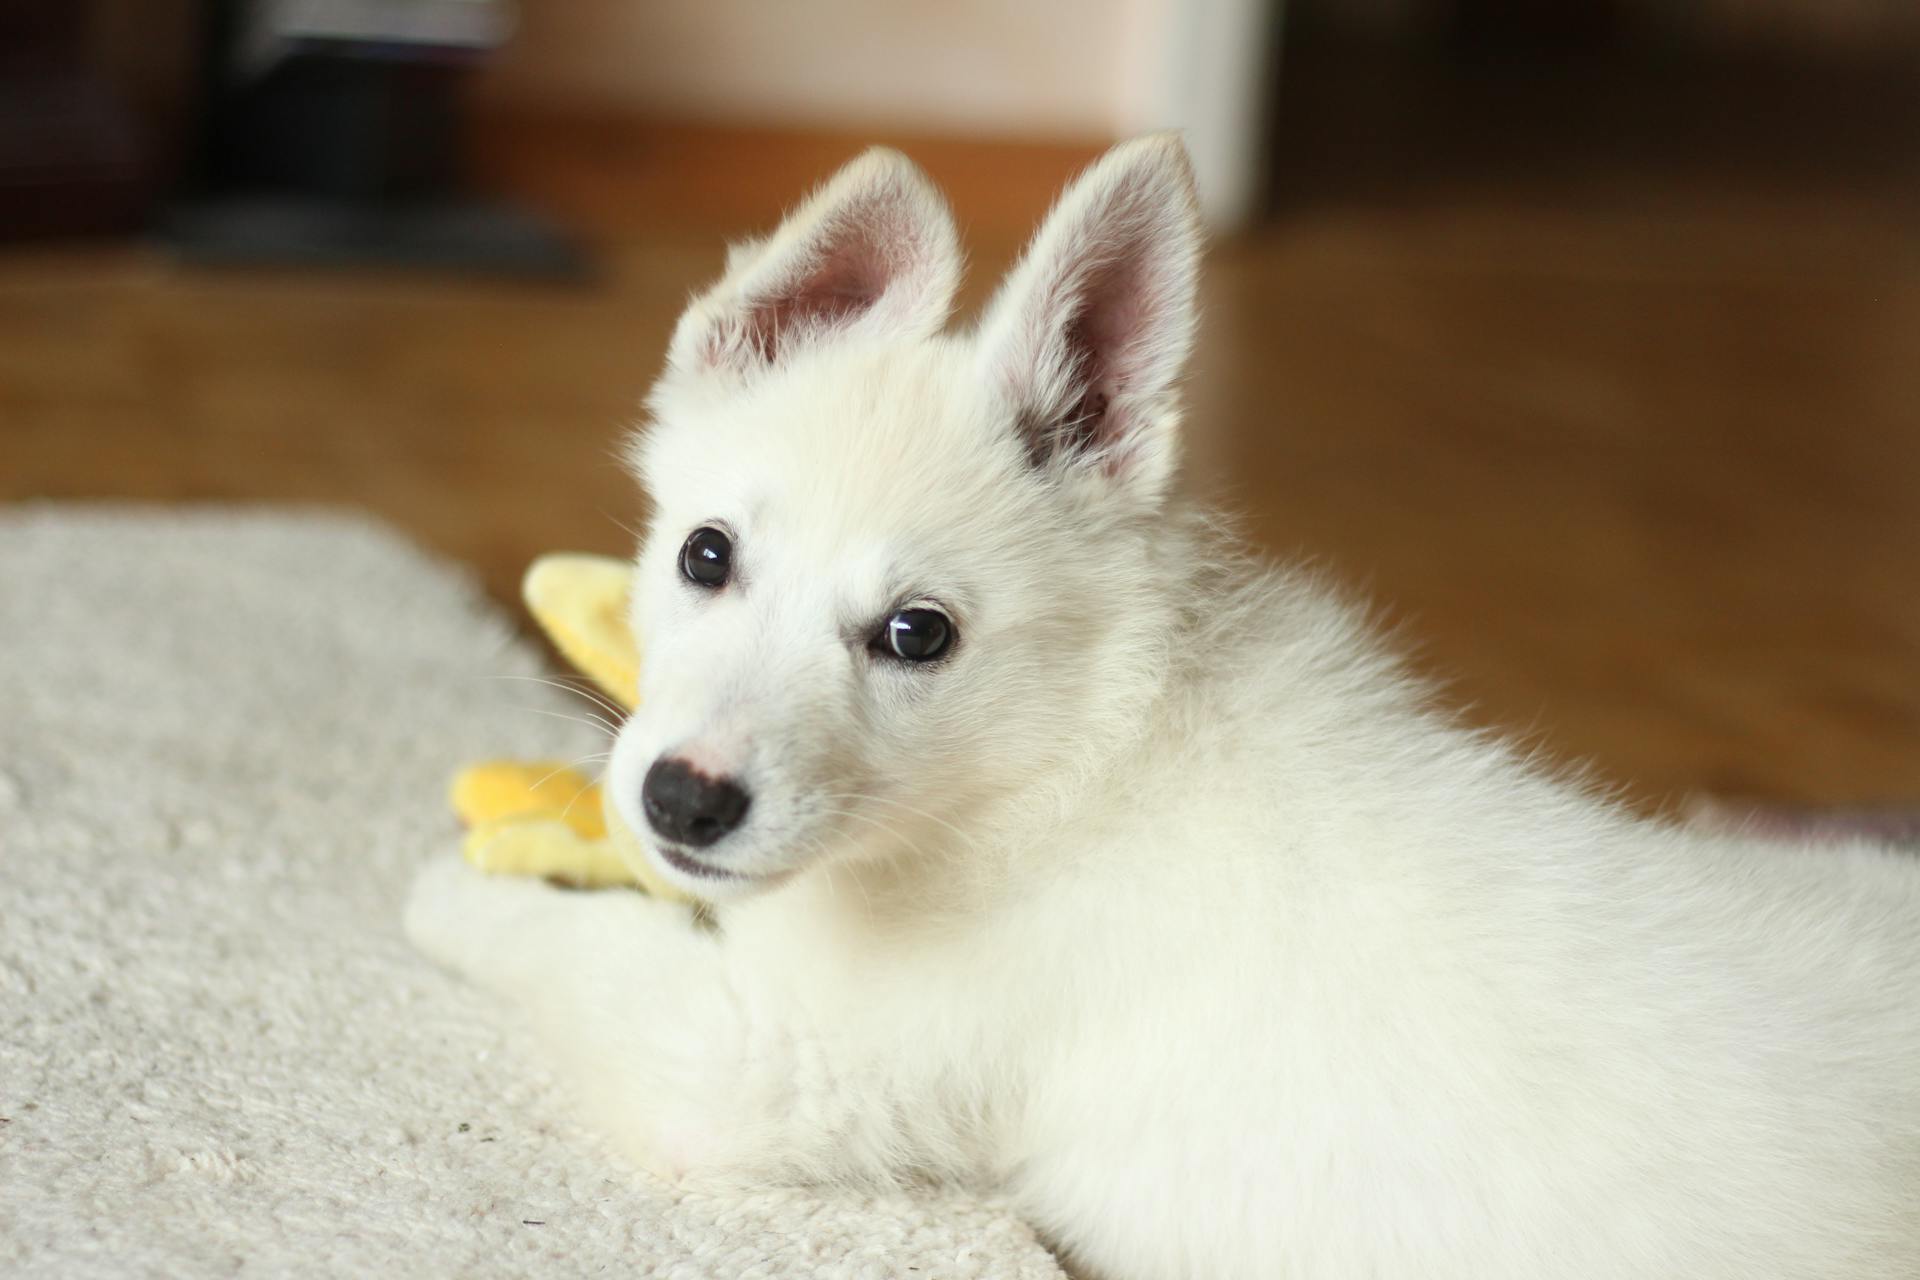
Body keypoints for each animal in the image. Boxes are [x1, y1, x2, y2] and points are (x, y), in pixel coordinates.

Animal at [412, 135, 1920, 1274]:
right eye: (705, 555)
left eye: (916, 635)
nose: (681, 800)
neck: (1068, 740)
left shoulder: (761, 1068)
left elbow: (581, 950)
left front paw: (462, 885)